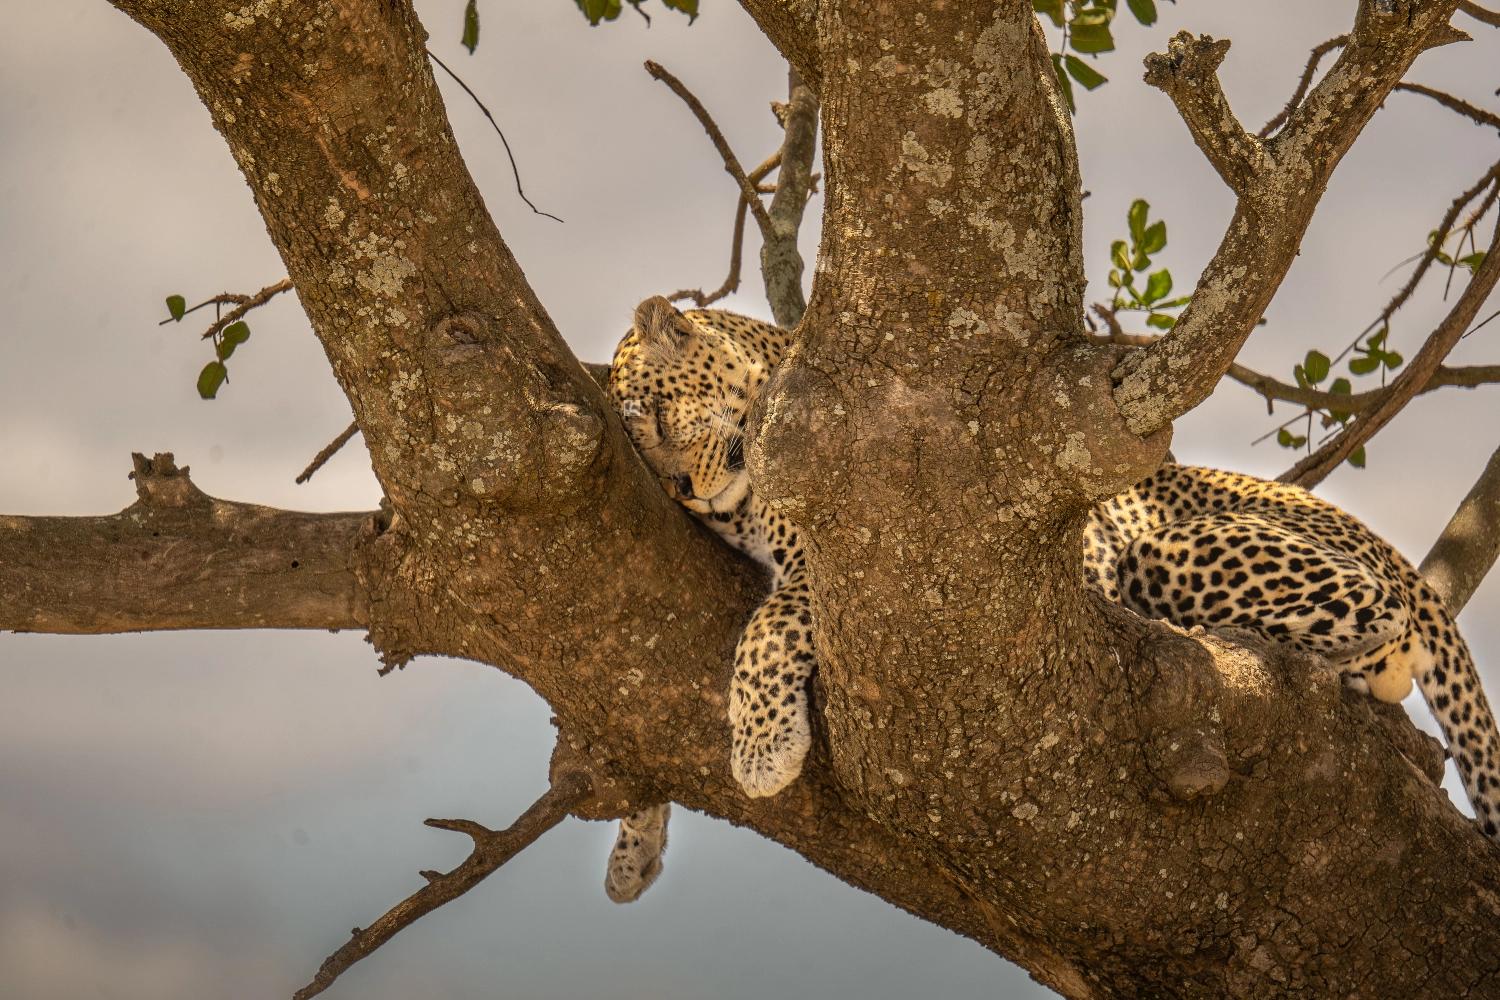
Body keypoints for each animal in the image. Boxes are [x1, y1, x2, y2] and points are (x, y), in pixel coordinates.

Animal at [598, 297, 1500, 903]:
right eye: (636, 449)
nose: (679, 491)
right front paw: (633, 847)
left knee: (1377, 615)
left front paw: (758, 747)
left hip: (1171, 550)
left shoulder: (872, 562)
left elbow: (769, 624)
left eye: (659, 416)